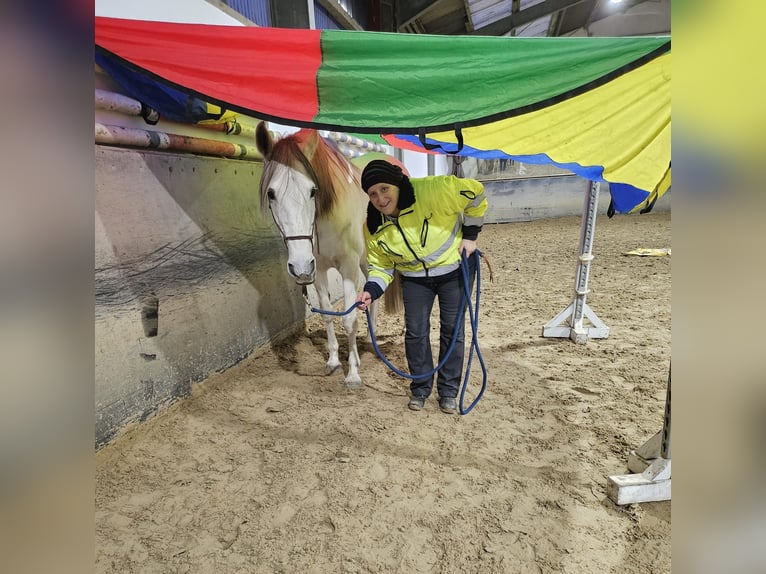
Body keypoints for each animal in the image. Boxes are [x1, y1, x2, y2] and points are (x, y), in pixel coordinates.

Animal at [255, 121, 402, 389]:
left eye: (313, 190)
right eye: (271, 193)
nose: (299, 267)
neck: (325, 218)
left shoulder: (347, 268)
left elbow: (349, 319)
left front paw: (353, 373)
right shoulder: (318, 269)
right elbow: (327, 314)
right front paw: (334, 361)